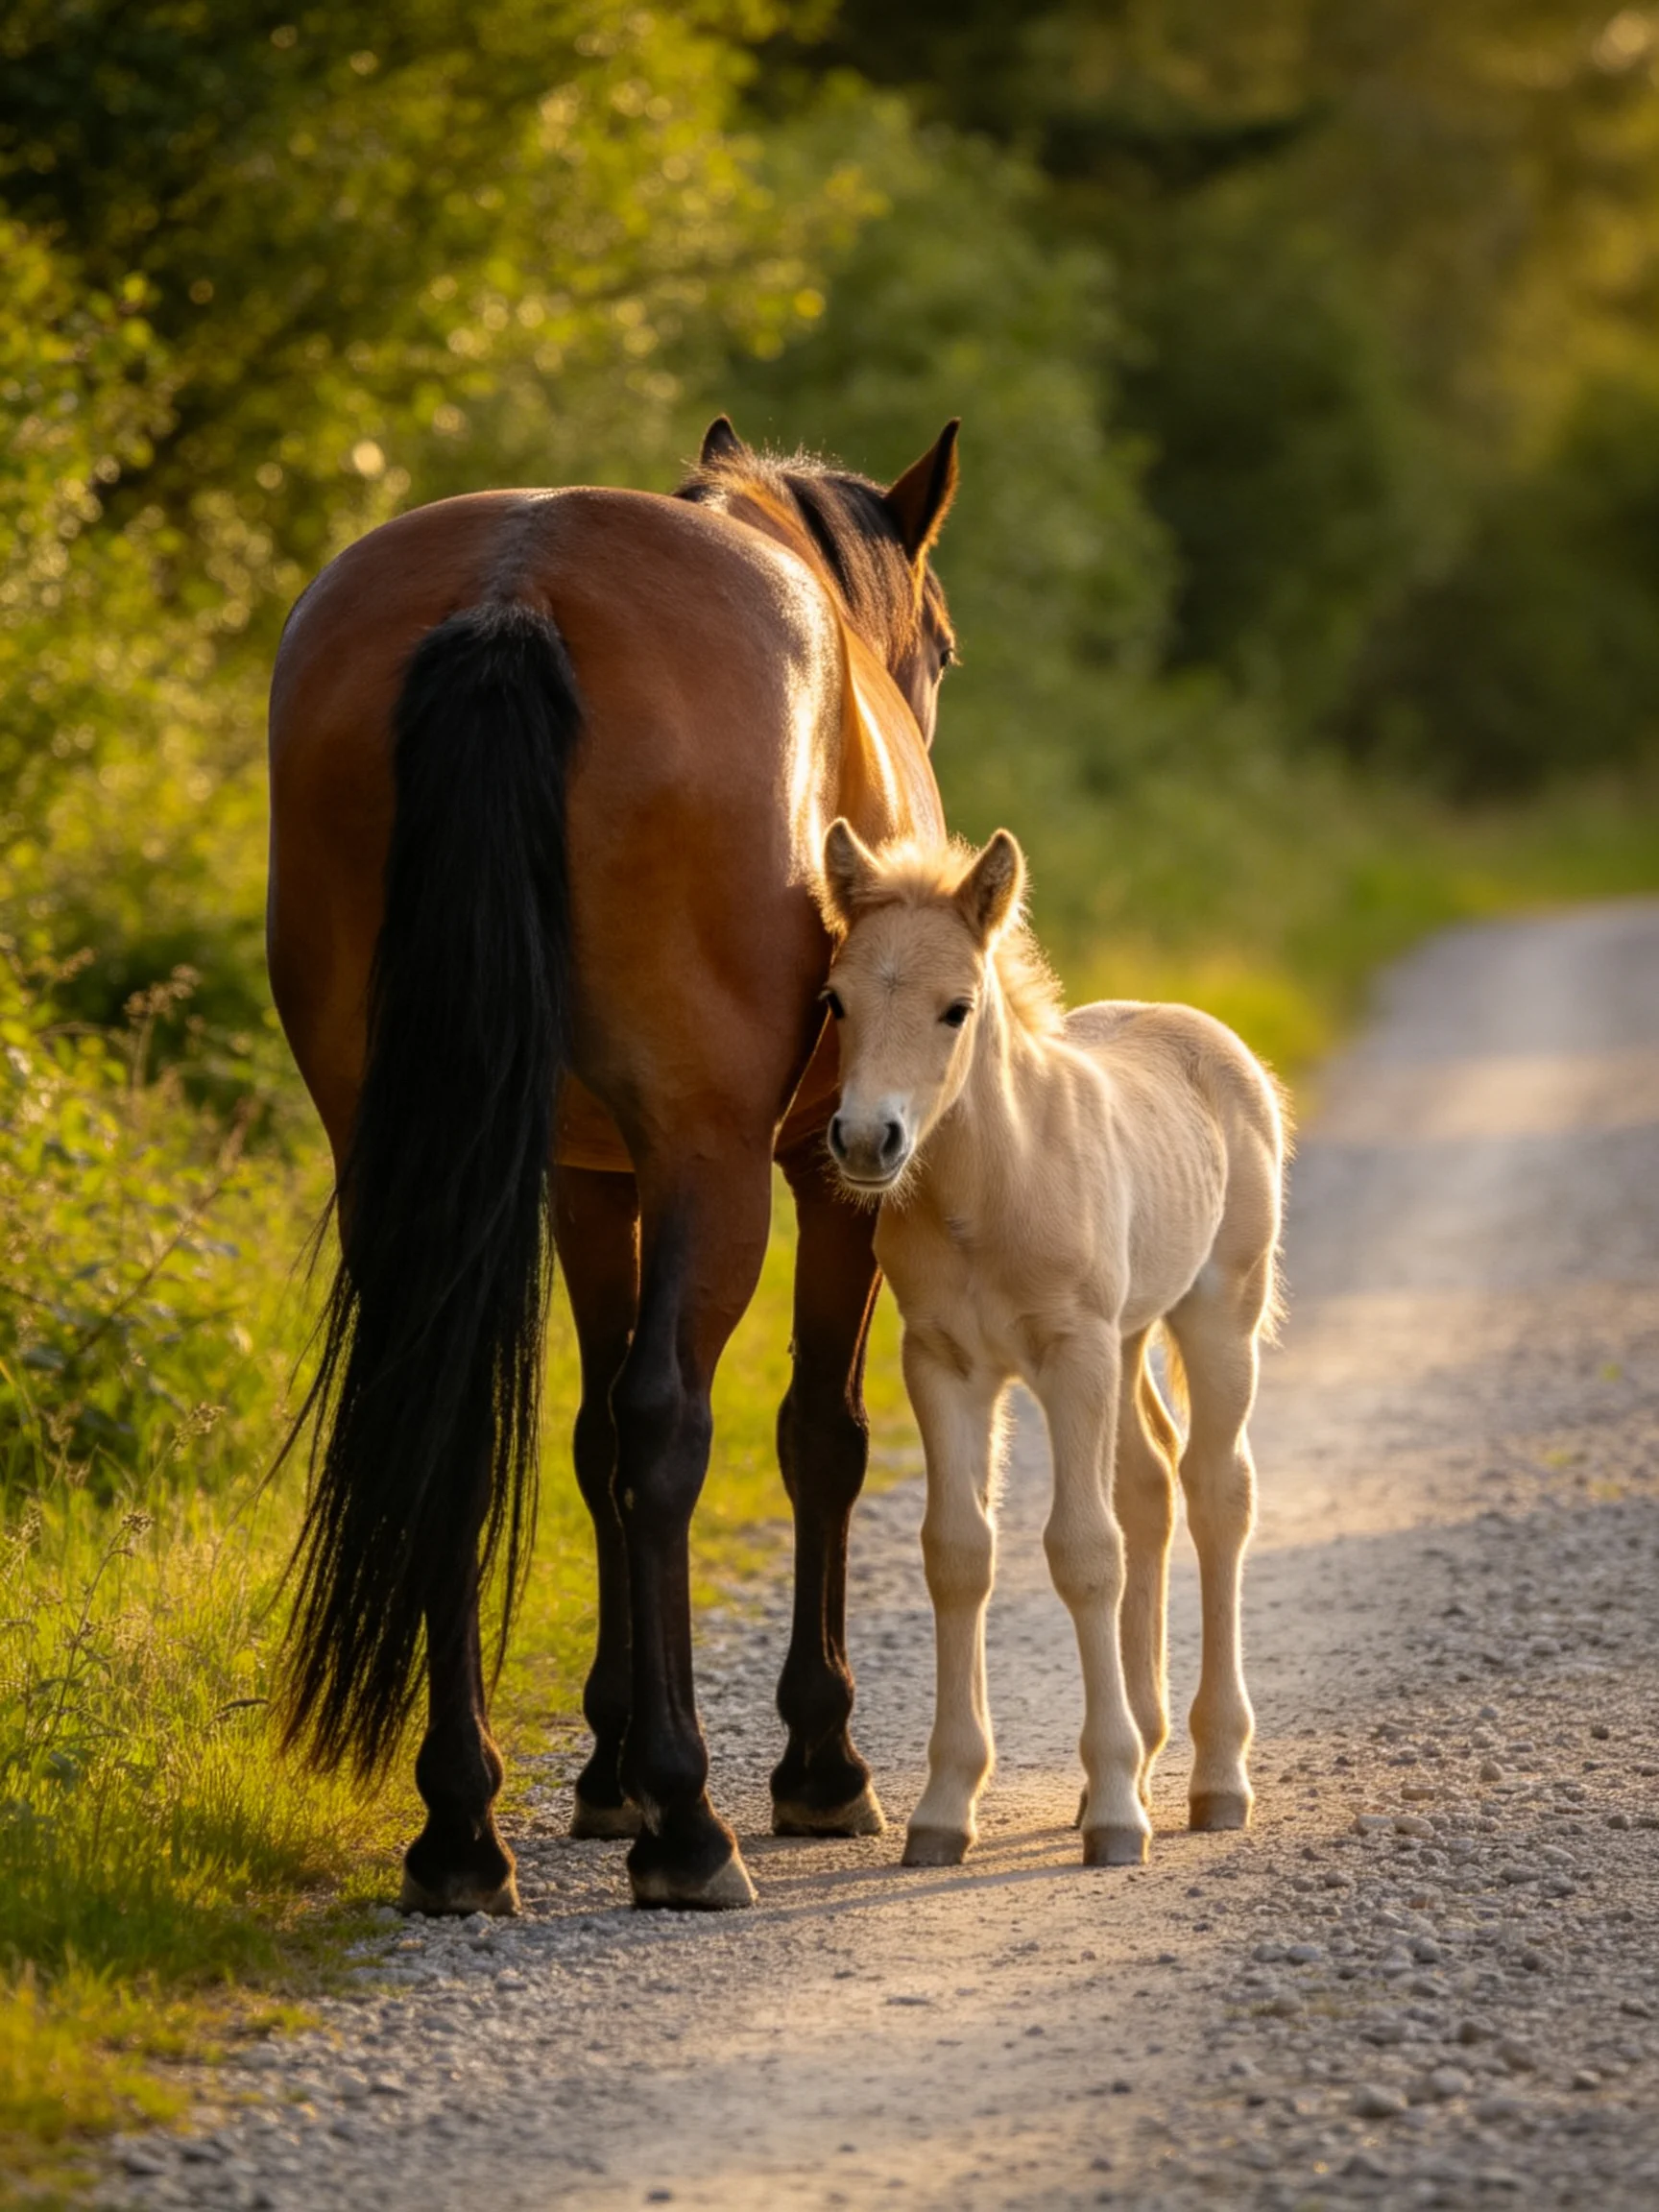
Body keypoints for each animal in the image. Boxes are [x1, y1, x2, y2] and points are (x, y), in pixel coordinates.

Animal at [265, 416, 961, 1912]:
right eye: (941, 643)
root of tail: (513, 592)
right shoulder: (831, 1176)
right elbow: (817, 1434)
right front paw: (812, 1763)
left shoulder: (585, 1181)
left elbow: (584, 1443)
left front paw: (605, 1767)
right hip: (714, 1165)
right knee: (668, 1426)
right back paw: (691, 1827)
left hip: (403, 1155)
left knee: (462, 1430)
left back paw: (461, 1827)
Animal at [816, 820, 1287, 1869]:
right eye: (835, 999)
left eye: (956, 1009)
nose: (866, 1140)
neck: (990, 1185)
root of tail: (1207, 1034)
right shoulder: (944, 1364)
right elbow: (958, 1553)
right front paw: (945, 1808)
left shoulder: (1071, 1354)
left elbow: (1082, 1550)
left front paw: (1114, 1810)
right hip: (1130, 1331)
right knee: (1150, 1481)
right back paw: (1150, 1752)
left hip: (1218, 1315)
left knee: (1216, 1493)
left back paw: (1214, 1777)